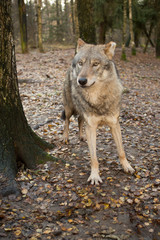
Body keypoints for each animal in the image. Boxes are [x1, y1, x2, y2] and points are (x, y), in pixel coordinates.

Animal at [62, 39, 134, 186]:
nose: (81, 81)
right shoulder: (91, 127)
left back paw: (81, 136)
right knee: (67, 121)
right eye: (81, 63)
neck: (98, 98)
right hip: (69, 108)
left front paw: (127, 166)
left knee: (80, 120)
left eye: (95, 64)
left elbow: (121, 150)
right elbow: (94, 158)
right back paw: (65, 137)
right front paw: (95, 176)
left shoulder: (114, 124)